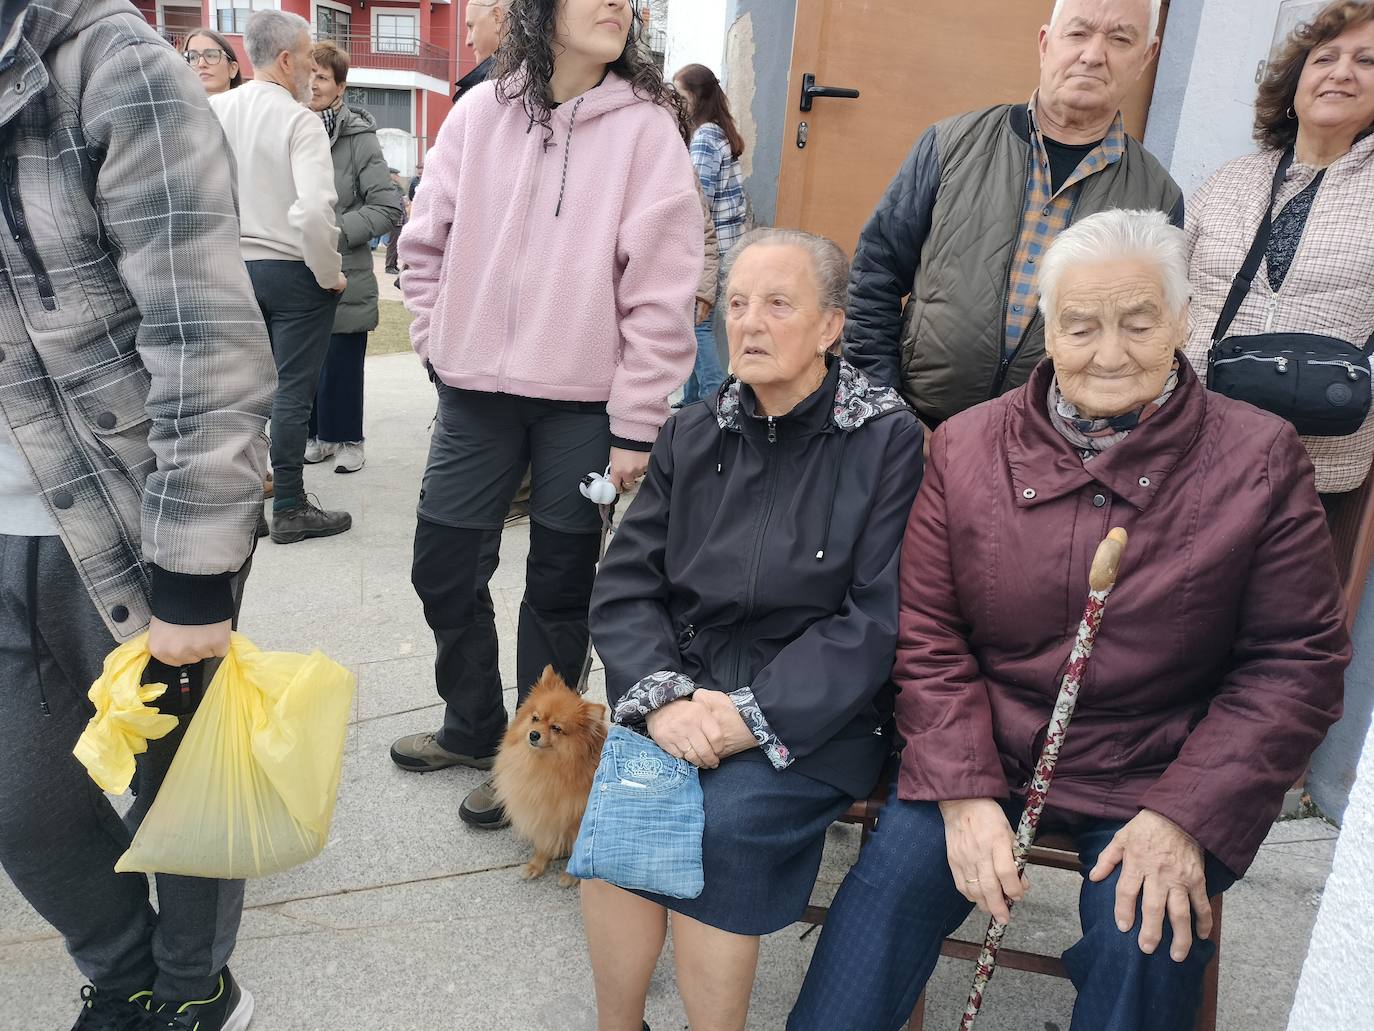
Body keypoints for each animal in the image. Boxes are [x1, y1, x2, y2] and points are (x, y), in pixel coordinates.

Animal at [491, 670, 604, 890]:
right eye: (535, 718)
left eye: (556, 728)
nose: (533, 734)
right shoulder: (545, 815)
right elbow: (543, 844)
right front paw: (536, 865)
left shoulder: (576, 821)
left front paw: (571, 876)